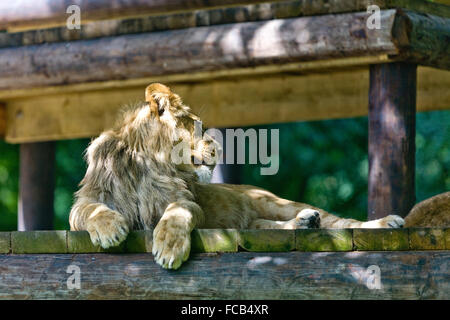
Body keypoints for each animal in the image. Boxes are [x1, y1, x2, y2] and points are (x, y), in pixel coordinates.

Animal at [69, 83, 404, 270]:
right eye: (199, 127)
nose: (217, 146)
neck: (150, 165)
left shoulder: (185, 202)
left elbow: (177, 212)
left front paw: (169, 247)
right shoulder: (85, 203)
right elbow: (89, 211)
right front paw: (110, 228)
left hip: (277, 203)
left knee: (344, 222)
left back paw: (385, 222)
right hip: (256, 221)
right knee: (271, 227)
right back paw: (305, 223)